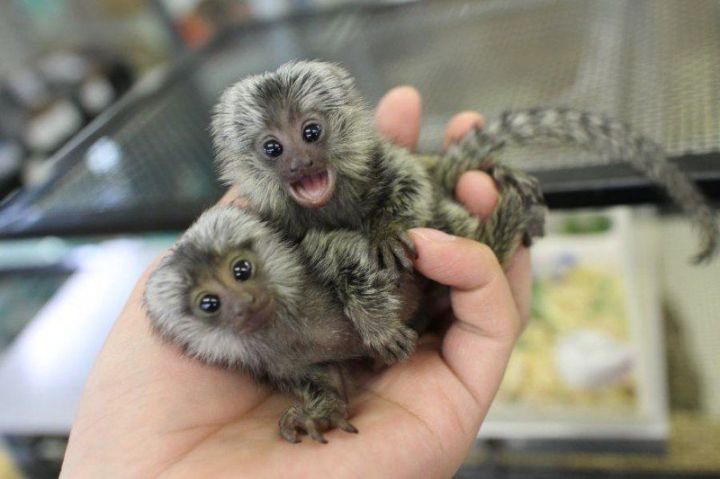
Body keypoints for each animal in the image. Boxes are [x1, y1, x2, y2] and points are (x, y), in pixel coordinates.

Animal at [211, 60, 717, 365]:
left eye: (311, 132)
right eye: (273, 148)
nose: (300, 164)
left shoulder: (384, 162)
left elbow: (410, 185)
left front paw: (387, 230)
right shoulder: (282, 226)